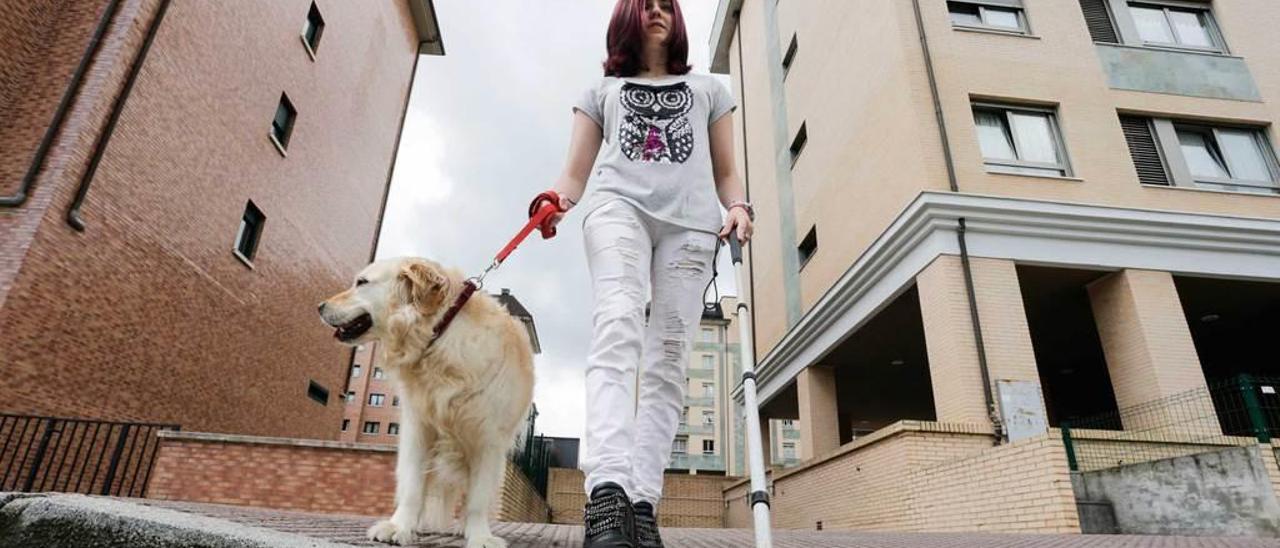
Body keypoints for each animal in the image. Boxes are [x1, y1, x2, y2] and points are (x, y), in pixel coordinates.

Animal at [325, 257, 540, 548]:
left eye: (362, 282)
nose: (320, 306)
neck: (439, 333)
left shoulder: (488, 438)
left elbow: (478, 497)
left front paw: (480, 535)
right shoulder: (418, 428)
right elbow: (412, 486)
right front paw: (399, 526)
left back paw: (463, 527)